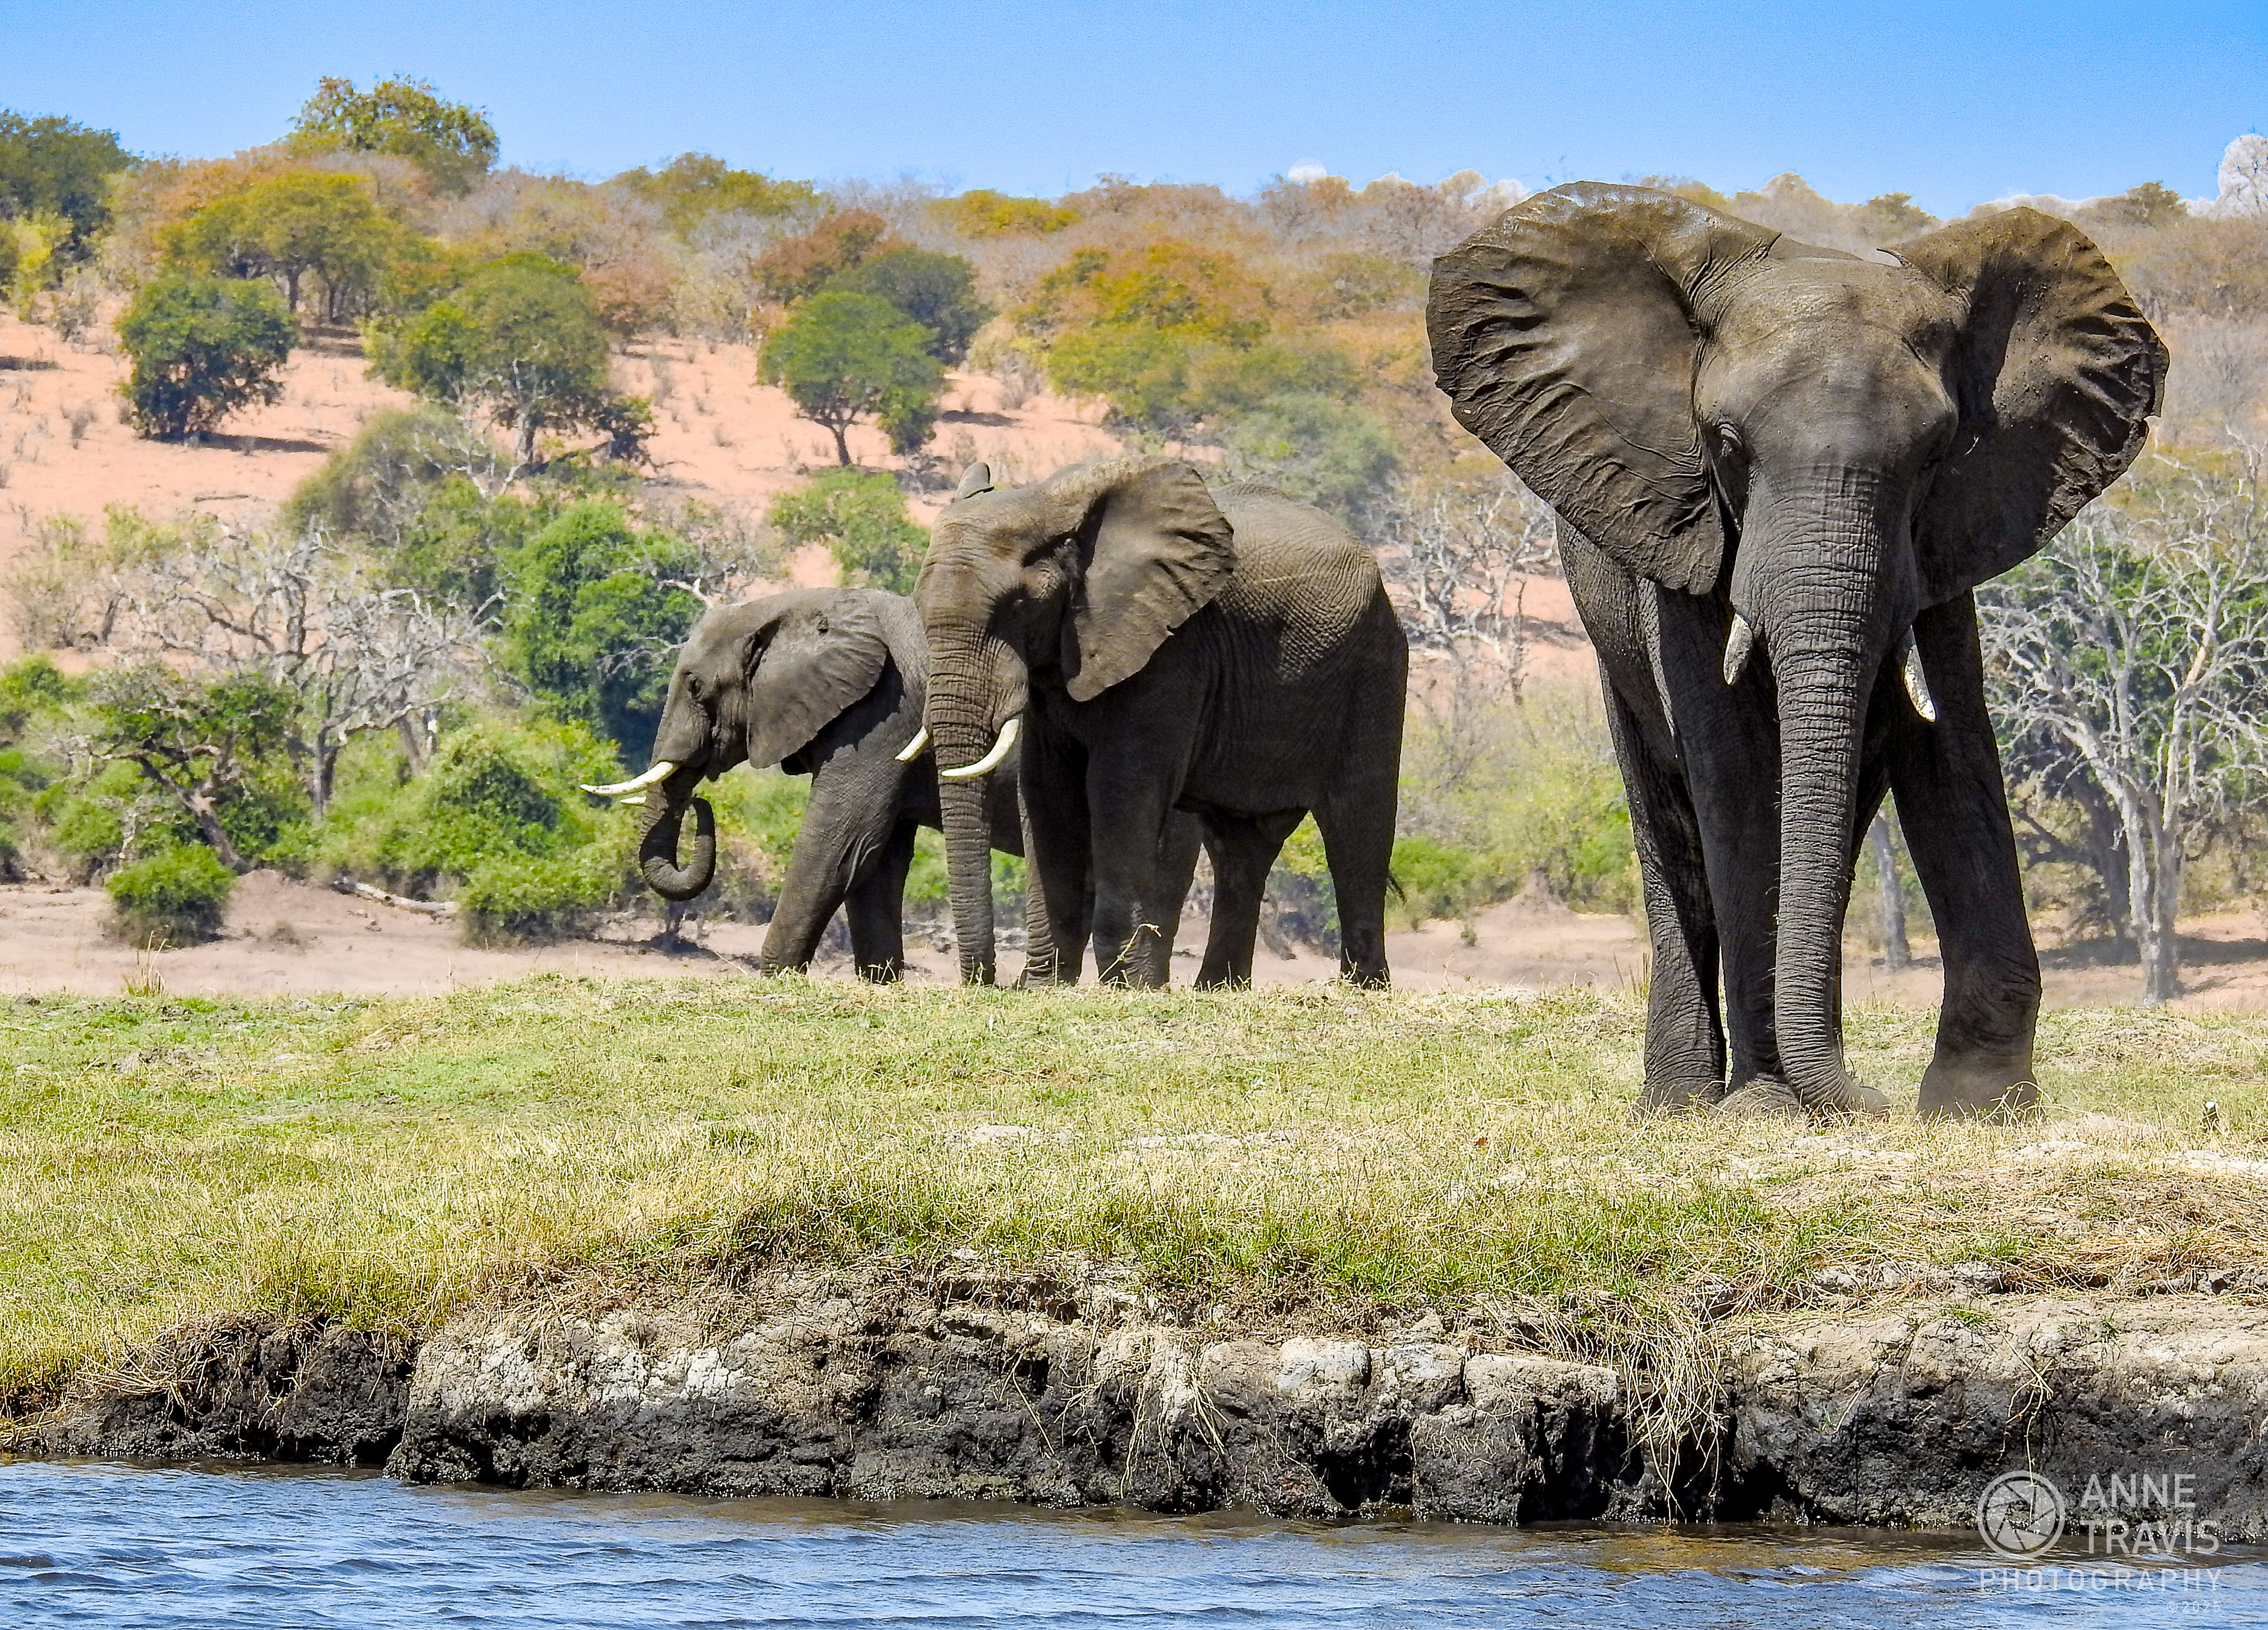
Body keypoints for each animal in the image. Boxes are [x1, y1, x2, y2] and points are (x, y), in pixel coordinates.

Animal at [914, 457, 1407, 990]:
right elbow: (1047, 791)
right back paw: (1219, 990)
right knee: (1241, 846)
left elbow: (1120, 790)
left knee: (1357, 822)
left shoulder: (1172, 651)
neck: (1052, 506)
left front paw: (1120, 987)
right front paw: (1045, 987)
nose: (985, 981)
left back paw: (1363, 989)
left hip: (1375, 661)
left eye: (1017, 606)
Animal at [1428, 183, 2165, 1121]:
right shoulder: (1685, 531)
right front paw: (1771, 1107)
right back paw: (1679, 1103)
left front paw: (1982, 1105)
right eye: (1725, 444)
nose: (1878, 1103)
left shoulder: (1947, 539)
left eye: (1937, 455)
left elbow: (1953, 747)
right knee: (1670, 824)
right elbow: (1736, 771)